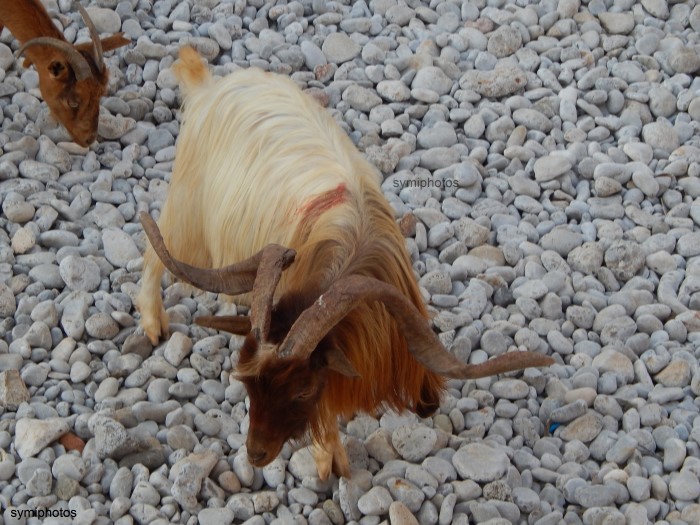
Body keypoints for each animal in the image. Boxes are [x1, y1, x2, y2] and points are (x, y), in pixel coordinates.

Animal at [138, 46, 554, 480]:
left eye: (302, 388)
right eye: (247, 385)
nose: (255, 455)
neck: (349, 249)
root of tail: (208, 85)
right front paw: (330, 459)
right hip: (187, 212)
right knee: (154, 252)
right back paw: (152, 323)